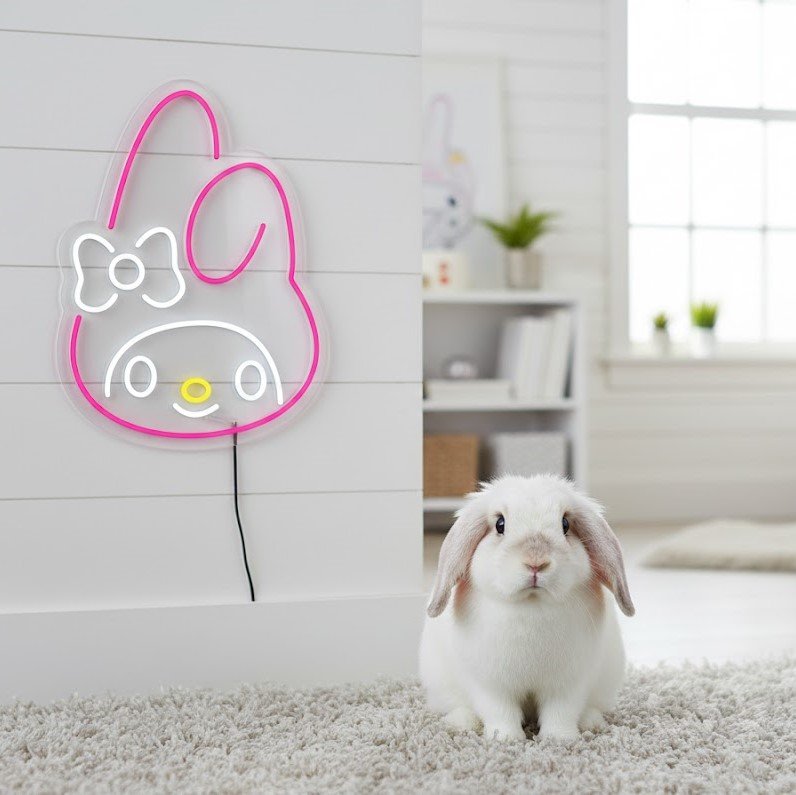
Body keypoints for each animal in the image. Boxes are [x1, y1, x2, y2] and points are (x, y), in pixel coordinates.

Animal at [419, 474, 635, 742]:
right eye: (500, 524)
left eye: (565, 524)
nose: (536, 563)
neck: (532, 604)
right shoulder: (491, 686)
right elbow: (500, 712)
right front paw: (506, 739)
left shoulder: (568, 685)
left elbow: (560, 712)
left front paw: (560, 739)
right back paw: (462, 723)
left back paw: (591, 722)